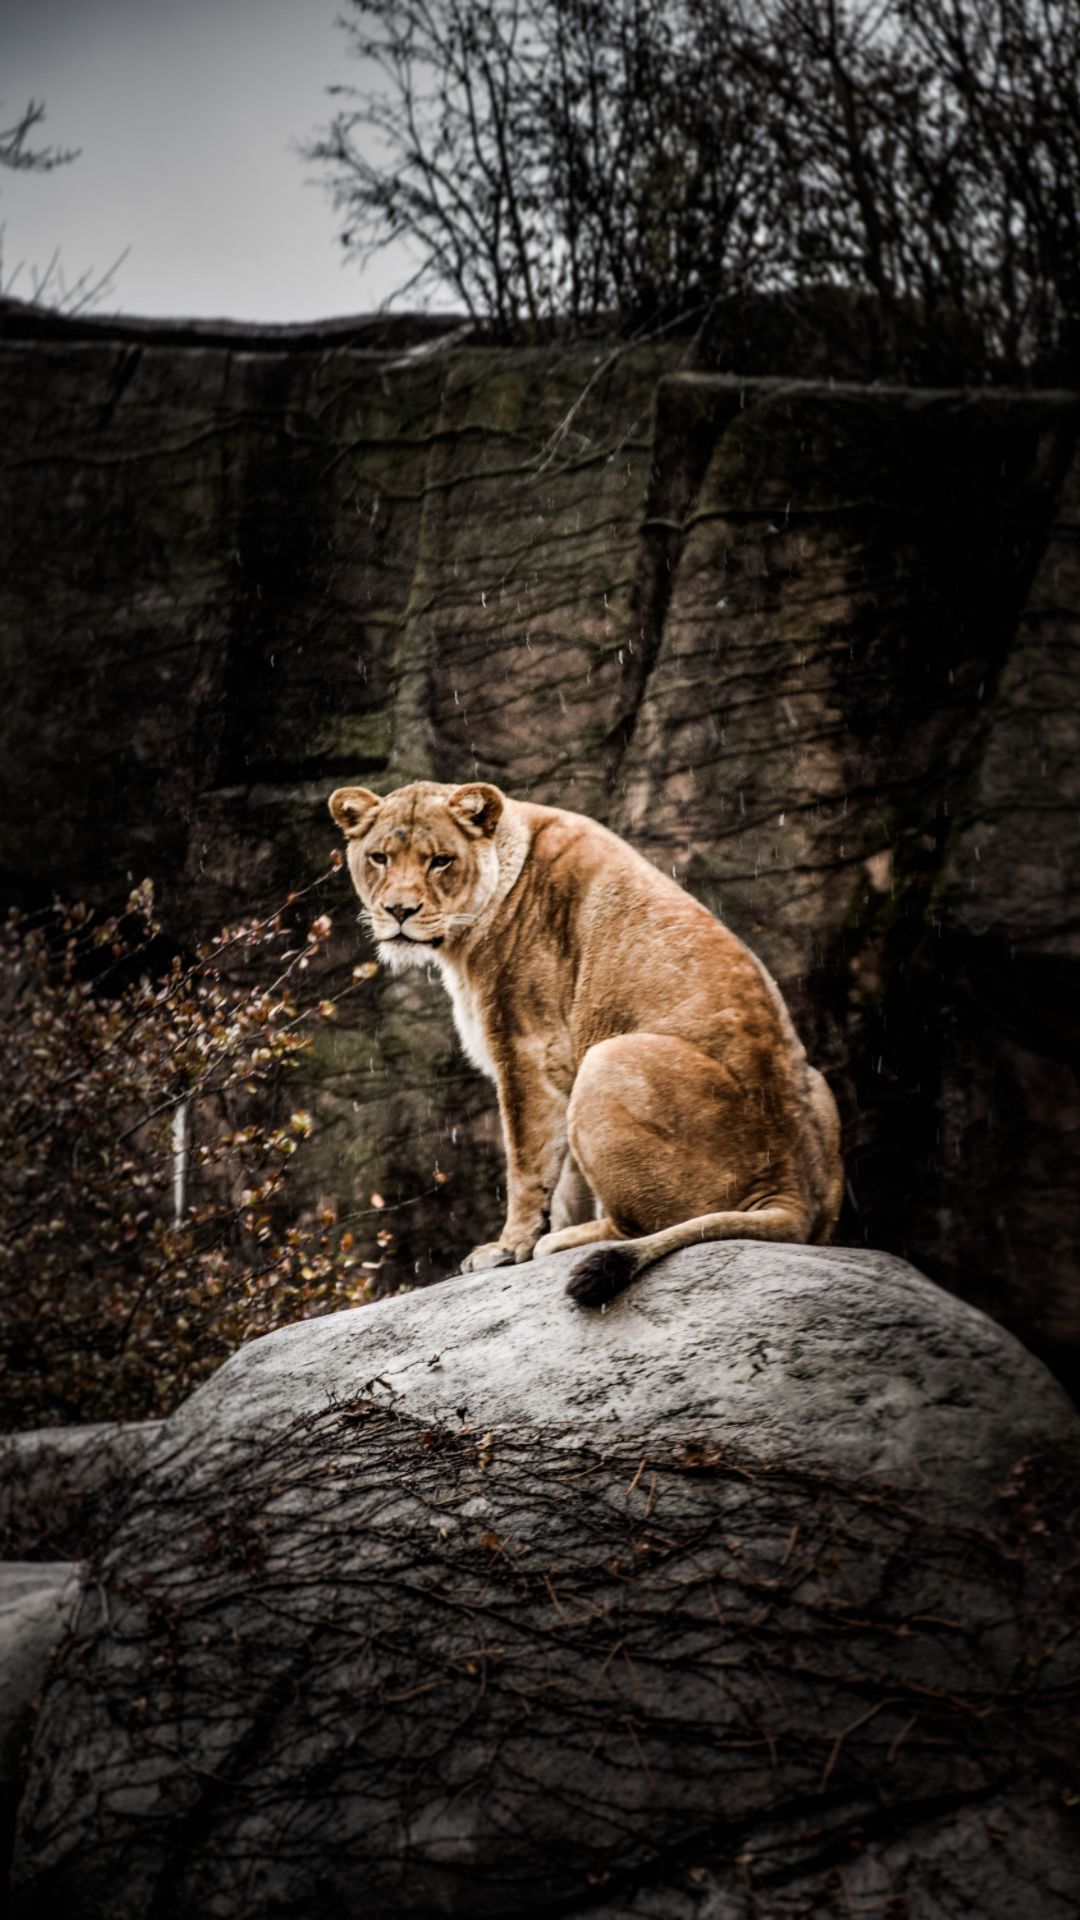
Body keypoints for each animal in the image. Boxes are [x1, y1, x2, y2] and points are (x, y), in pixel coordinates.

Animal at [328, 779, 843, 1307]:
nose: (399, 911)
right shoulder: (557, 1067)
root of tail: (791, 1189)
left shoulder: (528, 1051)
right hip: (815, 1086)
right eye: (380, 858)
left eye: (441, 861)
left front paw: (507, 1248)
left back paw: (562, 1242)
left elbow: (527, 1166)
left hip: (608, 1057)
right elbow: (566, 1181)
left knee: (646, 1225)